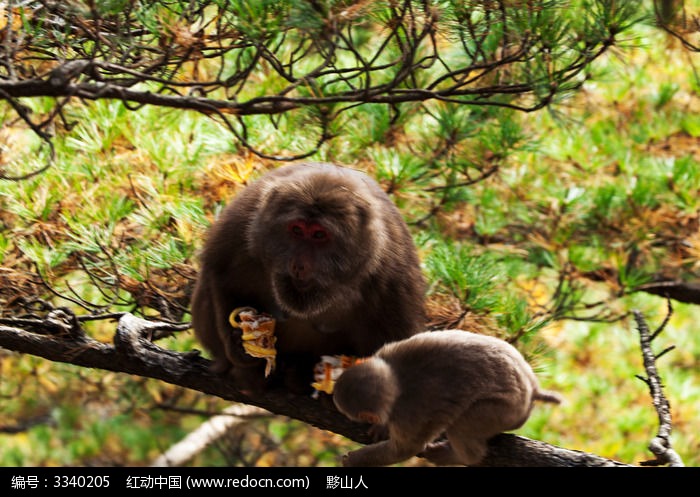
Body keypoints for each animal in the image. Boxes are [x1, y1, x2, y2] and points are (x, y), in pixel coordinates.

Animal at [190, 163, 426, 392]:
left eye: (319, 235)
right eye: (296, 230)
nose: (299, 265)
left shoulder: (391, 269)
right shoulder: (244, 223)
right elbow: (221, 274)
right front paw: (239, 343)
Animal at [334, 330, 564, 464]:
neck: (397, 379)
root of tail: (532, 387)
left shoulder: (410, 416)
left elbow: (405, 449)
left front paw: (355, 460)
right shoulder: (389, 351)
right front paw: (381, 427)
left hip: (505, 410)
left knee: (463, 426)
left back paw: (458, 457)